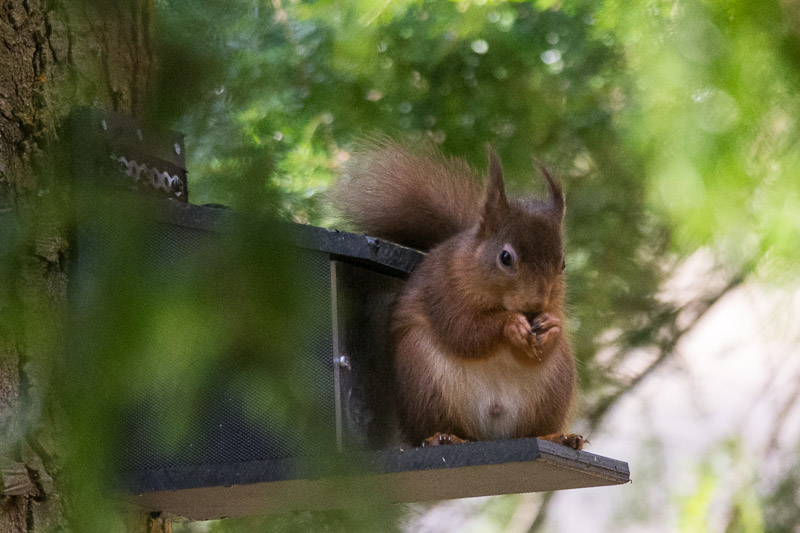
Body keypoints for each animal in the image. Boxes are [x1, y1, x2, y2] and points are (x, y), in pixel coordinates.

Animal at [334, 140, 584, 448]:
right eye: (505, 257)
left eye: (563, 264)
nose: (536, 304)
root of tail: (489, 435)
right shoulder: (444, 290)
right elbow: (463, 331)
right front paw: (511, 324)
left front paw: (551, 326)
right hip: (424, 382)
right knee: (436, 426)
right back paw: (444, 437)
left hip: (555, 387)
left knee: (531, 431)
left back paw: (558, 436)